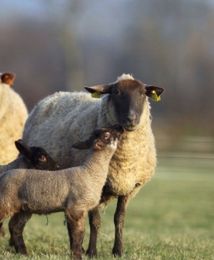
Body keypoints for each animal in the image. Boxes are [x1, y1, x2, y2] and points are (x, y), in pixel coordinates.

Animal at [0, 125, 123, 258]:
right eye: (106, 135)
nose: (119, 131)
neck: (90, 172)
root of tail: (4, 175)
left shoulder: (80, 209)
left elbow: (79, 235)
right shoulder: (75, 208)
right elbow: (78, 235)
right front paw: (77, 256)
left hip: (24, 208)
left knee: (15, 226)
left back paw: (24, 254)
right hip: (5, 202)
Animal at [21, 73, 164, 256]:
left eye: (142, 94)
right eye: (116, 92)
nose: (131, 119)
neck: (125, 160)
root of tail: (52, 96)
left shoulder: (129, 186)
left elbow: (120, 218)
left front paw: (118, 250)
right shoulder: (94, 183)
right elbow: (95, 220)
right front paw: (92, 252)